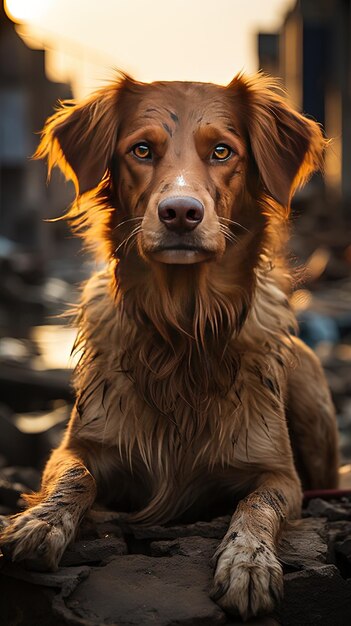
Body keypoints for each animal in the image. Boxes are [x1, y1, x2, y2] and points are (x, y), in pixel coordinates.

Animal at [0, 73, 340, 620]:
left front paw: (248, 562)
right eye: (141, 149)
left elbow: (255, 505)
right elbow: (75, 478)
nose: (180, 212)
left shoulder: (280, 474)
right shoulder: (77, 446)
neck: (181, 331)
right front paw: (41, 523)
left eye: (222, 151)